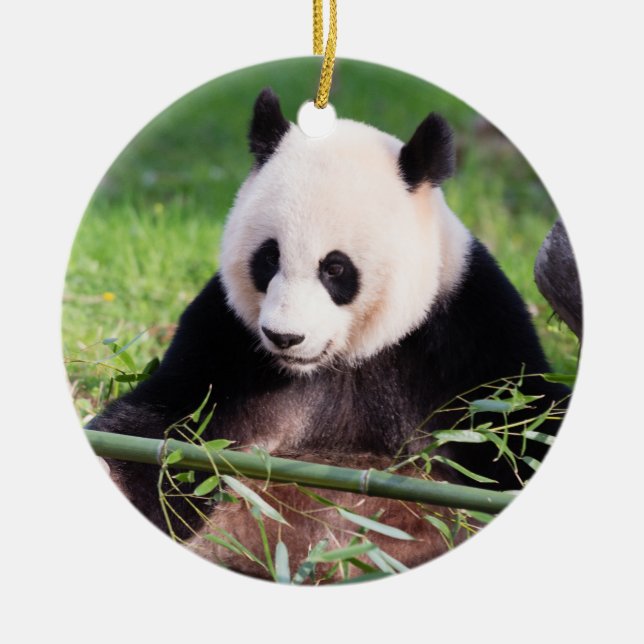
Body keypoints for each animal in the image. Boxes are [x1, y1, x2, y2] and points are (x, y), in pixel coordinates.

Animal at [92, 88, 570, 579]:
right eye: (269, 257)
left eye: (335, 268)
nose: (284, 337)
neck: (344, 358)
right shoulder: (226, 341)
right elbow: (161, 428)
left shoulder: (466, 334)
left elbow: (521, 424)